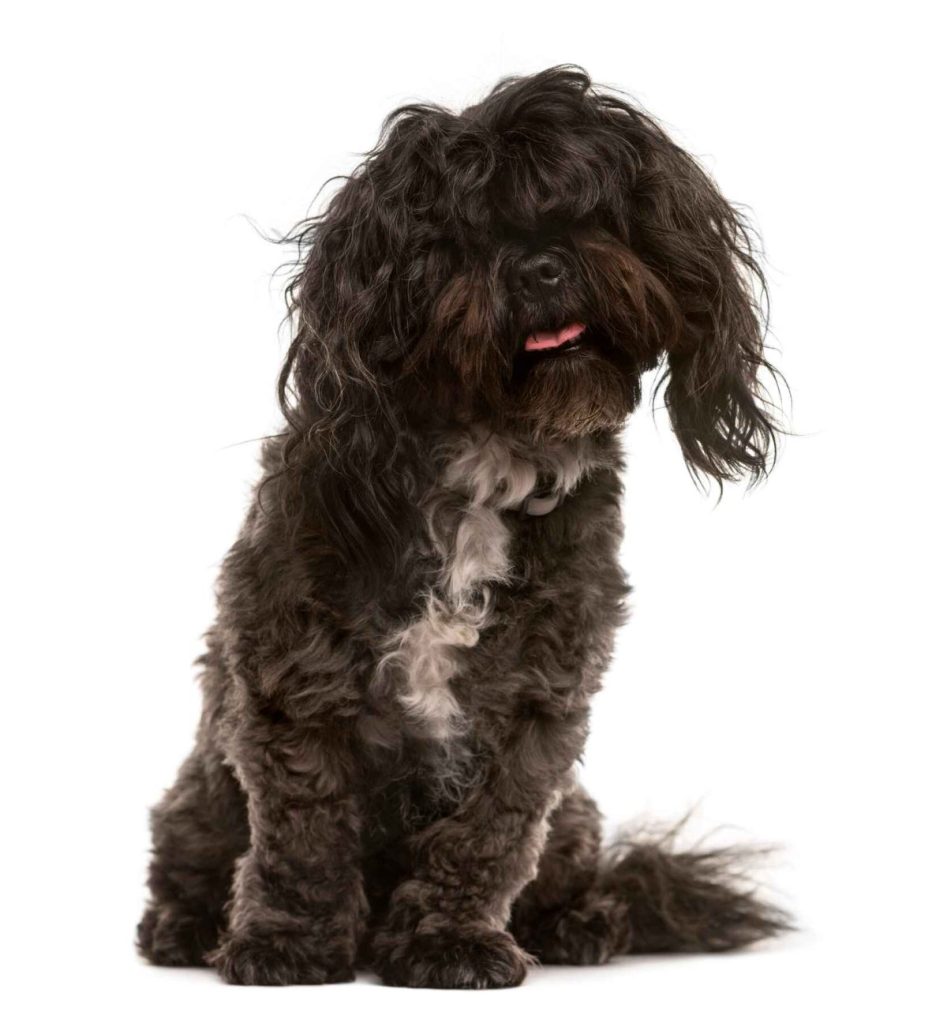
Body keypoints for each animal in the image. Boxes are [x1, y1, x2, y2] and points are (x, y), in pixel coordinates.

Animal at [139, 65, 793, 990]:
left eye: (595, 214)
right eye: (459, 235)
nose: (545, 265)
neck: (491, 449)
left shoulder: (537, 705)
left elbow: (487, 835)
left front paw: (449, 939)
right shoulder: (293, 674)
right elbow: (304, 826)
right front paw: (287, 941)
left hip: (575, 817)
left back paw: (582, 919)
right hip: (198, 797)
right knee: (195, 857)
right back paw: (188, 921)